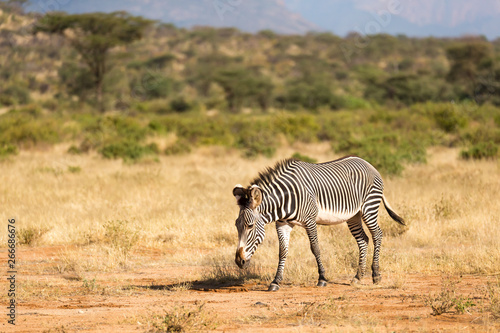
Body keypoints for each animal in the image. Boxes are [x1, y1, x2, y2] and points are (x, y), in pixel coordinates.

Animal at [232, 156, 404, 290]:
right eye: (236, 226)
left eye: (250, 226)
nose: (239, 262)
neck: (284, 200)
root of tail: (369, 164)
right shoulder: (282, 224)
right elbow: (282, 251)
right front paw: (276, 281)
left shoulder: (310, 221)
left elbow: (315, 248)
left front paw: (322, 278)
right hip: (354, 215)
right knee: (363, 239)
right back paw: (358, 276)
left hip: (369, 208)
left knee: (377, 235)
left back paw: (376, 275)